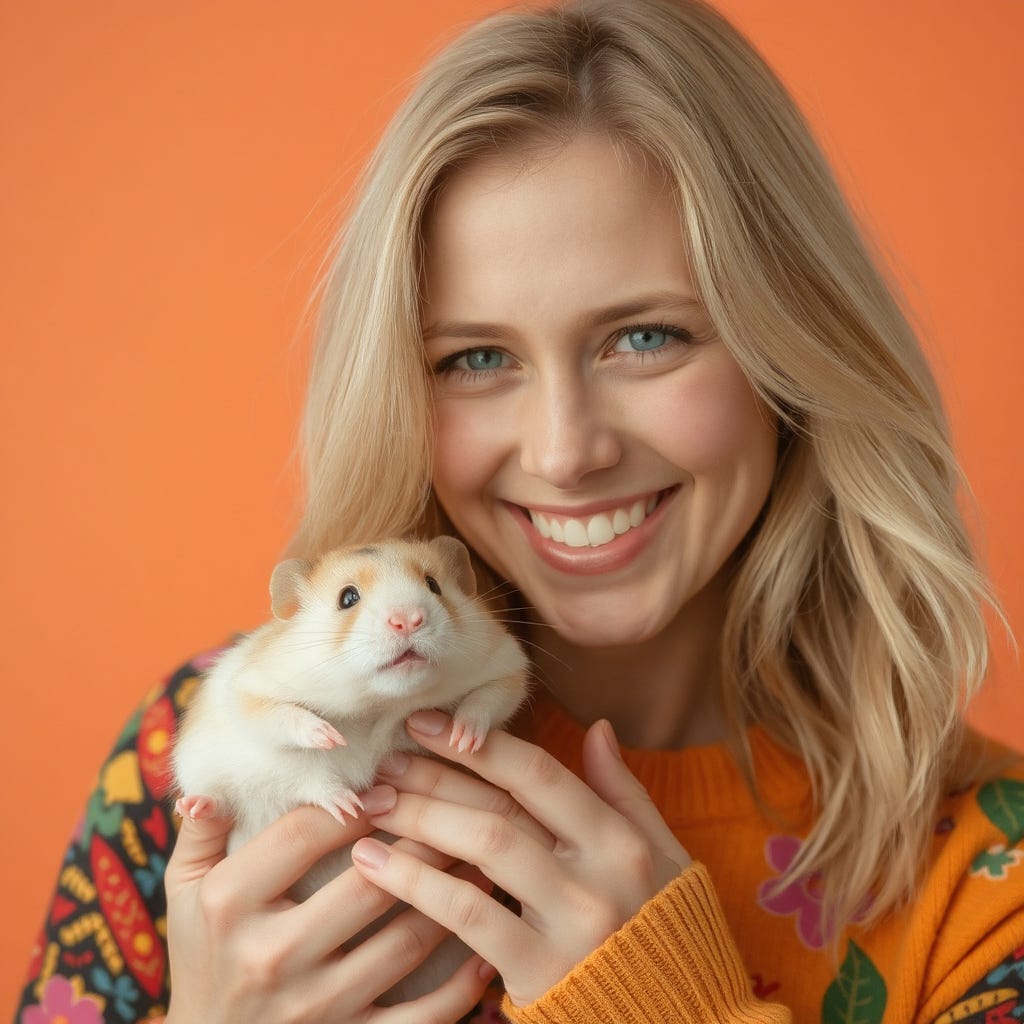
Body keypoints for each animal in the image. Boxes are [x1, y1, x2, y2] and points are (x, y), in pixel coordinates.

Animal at [169, 540, 528, 1003]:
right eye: (348, 598)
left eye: (433, 584)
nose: (408, 619)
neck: (379, 708)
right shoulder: (251, 695)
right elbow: (297, 749)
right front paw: (341, 778)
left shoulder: (505, 664)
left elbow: (488, 699)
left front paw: (462, 739)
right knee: (219, 797)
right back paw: (197, 807)